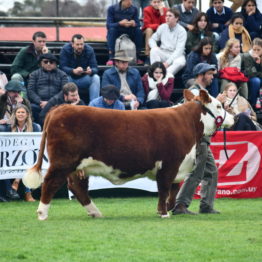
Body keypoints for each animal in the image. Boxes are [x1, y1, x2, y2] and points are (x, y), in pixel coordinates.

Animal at [24, 89, 233, 220]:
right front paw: (163, 212)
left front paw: (168, 209)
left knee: (77, 187)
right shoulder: (169, 164)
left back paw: (95, 212)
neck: (187, 123)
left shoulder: (179, 166)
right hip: (63, 161)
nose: (232, 117)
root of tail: (60, 108)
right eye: (219, 106)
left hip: (78, 165)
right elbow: (165, 189)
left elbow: (173, 190)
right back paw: (42, 214)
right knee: (50, 183)